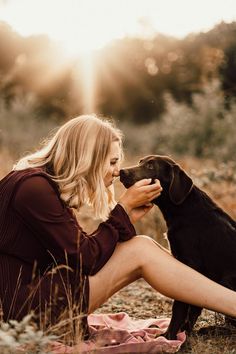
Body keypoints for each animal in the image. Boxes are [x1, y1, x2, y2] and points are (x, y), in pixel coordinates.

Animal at [120, 155, 236, 340]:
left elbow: (181, 306)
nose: (121, 172)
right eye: (140, 162)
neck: (182, 209)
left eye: (151, 166)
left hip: (226, 280)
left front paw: (168, 336)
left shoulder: (190, 265)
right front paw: (183, 332)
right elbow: (193, 307)